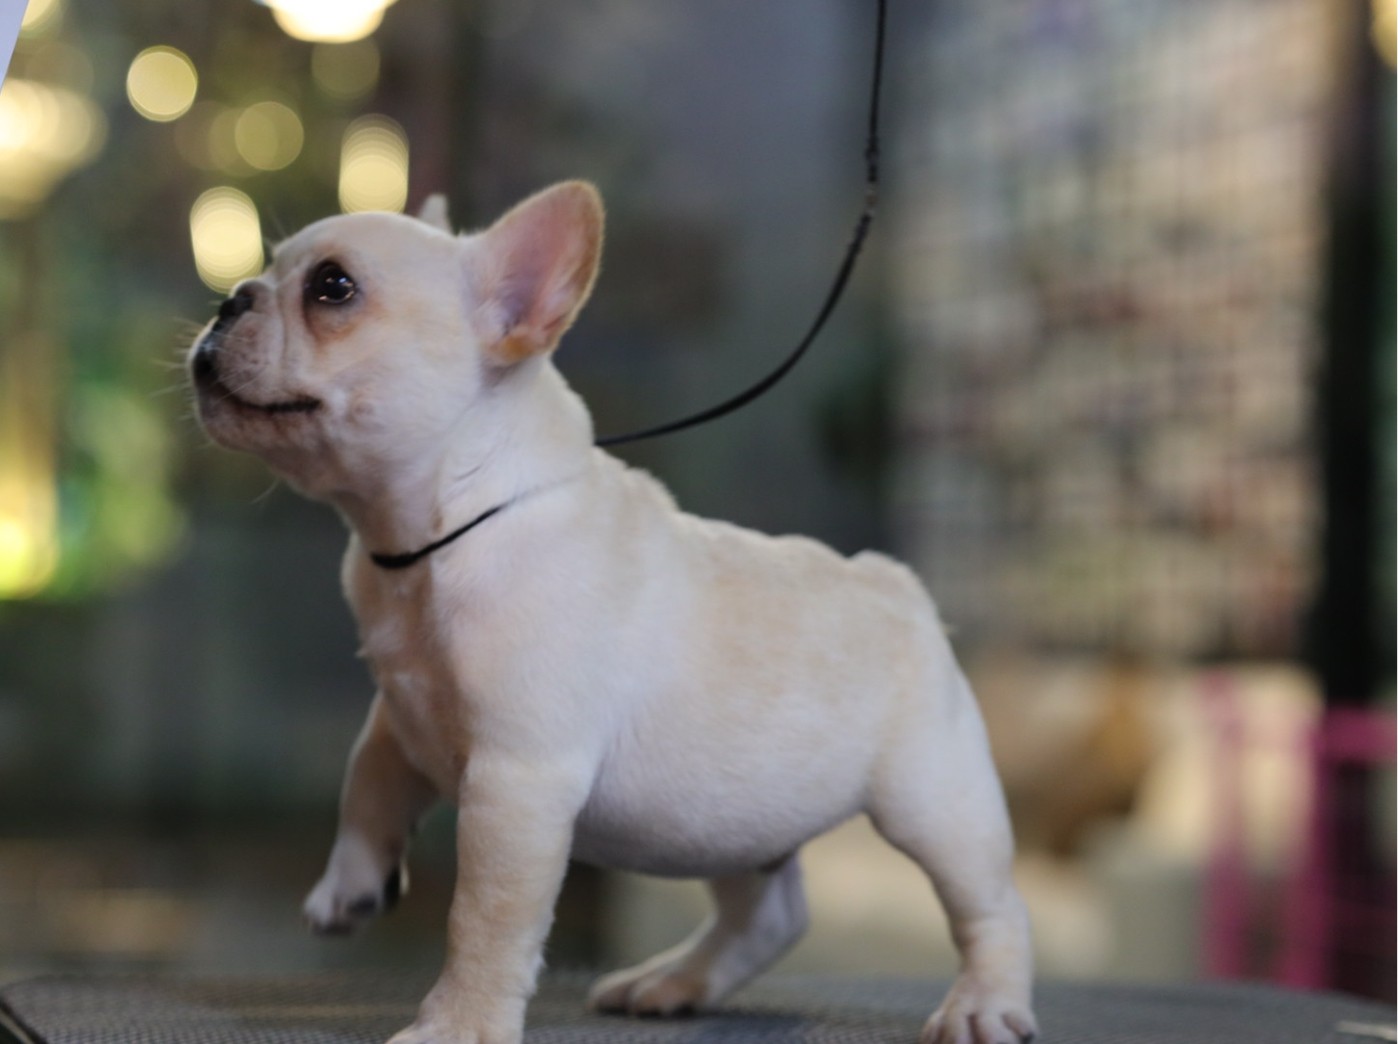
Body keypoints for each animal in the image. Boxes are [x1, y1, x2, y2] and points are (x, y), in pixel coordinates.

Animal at [187, 181, 1037, 1044]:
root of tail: (892, 583)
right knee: (769, 914)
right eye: (265, 270)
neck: (428, 535)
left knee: (992, 908)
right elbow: (365, 785)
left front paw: (459, 1022)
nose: (230, 298)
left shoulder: (517, 782)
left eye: (333, 288)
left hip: (934, 799)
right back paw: (672, 981)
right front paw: (349, 887)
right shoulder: (399, 713)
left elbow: (484, 917)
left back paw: (982, 1003)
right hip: (722, 822)